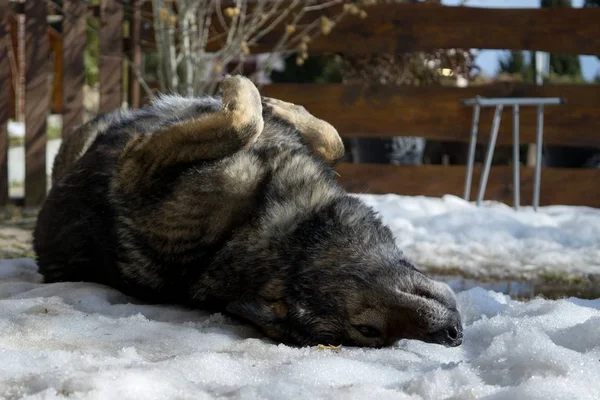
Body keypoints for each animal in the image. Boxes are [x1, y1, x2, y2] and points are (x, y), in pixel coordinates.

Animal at [34, 74, 464, 346]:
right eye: (370, 329)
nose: (454, 337)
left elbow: (270, 126)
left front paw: (256, 96)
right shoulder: (135, 168)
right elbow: (277, 127)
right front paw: (256, 94)